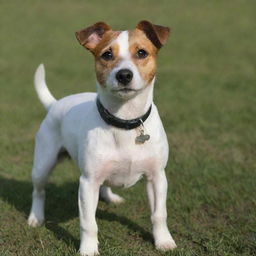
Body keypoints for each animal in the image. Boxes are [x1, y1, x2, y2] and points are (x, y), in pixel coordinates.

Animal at [28, 20, 176, 256]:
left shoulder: (157, 177)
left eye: (142, 52)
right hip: (43, 164)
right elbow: (89, 223)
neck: (125, 121)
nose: (124, 75)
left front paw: (163, 241)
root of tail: (55, 104)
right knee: (39, 191)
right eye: (107, 54)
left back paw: (111, 197)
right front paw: (88, 249)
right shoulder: (88, 183)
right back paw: (35, 217)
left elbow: (159, 214)